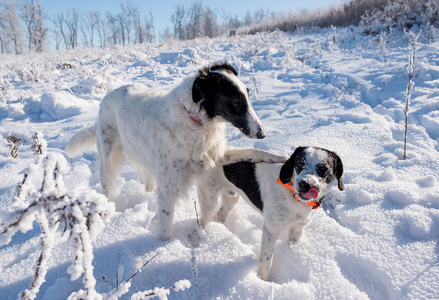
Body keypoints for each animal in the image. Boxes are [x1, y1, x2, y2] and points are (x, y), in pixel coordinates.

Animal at [65, 62, 286, 239]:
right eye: (236, 100)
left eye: (248, 95)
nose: (262, 133)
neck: (195, 120)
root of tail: (107, 97)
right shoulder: (169, 187)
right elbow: (166, 228)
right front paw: (165, 249)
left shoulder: (214, 155)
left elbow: (254, 151)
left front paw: (280, 157)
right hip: (108, 159)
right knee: (106, 185)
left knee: (148, 178)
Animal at [198, 146, 346, 280]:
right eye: (299, 164)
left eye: (323, 168)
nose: (305, 184)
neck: (293, 196)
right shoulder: (271, 232)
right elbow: (266, 263)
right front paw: (262, 280)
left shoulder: (297, 228)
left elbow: (291, 245)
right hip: (208, 201)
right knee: (202, 221)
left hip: (231, 197)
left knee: (221, 213)